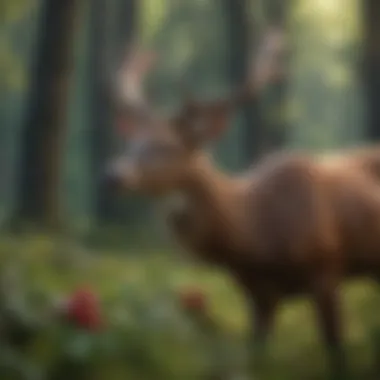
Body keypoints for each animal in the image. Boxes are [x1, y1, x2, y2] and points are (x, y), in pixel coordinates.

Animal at [104, 29, 380, 380]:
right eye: (130, 144)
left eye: (167, 147)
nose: (113, 175)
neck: (255, 235)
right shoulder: (257, 294)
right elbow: (255, 355)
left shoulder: (327, 268)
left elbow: (337, 352)